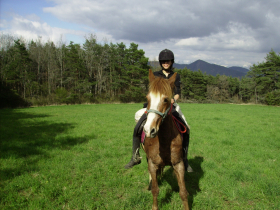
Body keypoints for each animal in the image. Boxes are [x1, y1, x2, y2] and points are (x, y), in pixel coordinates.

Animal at [142, 70, 190, 210]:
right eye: (147, 98)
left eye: (165, 99)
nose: (149, 130)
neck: (164, 141)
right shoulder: (152, 164)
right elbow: (155, 190)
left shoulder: (178, 163)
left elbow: (183, 192)